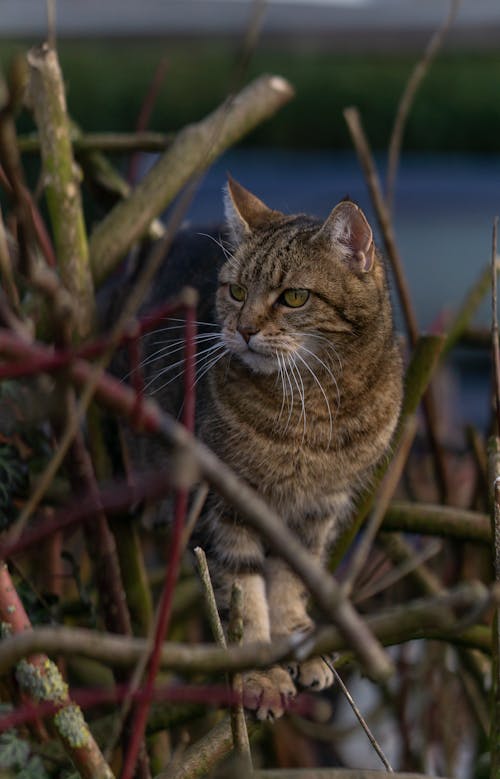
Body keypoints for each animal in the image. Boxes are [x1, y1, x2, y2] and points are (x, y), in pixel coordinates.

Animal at [119, 175, 404, 720]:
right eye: (236, 291)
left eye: (293, 297)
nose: (244, 328)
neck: (311, 408)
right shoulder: (228, 505)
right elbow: (244, 595)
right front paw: (259, 674)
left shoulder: (318, 510)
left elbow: (291, 581)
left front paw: (297, 643)